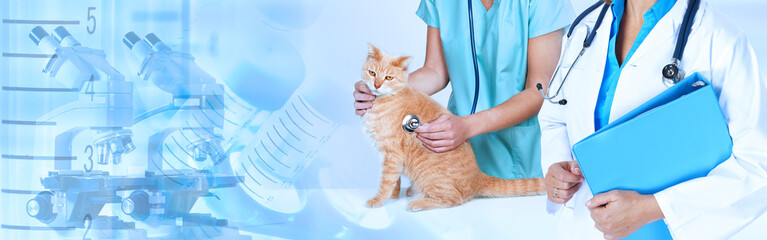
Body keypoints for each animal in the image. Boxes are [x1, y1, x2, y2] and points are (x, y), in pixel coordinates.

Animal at [362, 44, 544, 211]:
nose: (377, 85)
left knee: (452, 199)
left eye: (389, 77)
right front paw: (394, 195)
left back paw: (418, 202)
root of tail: (477, 175)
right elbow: (395, 180)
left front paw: (378, 200)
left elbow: (386, 181)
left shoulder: (392, 154)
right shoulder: (389, 154)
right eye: (372, 73)